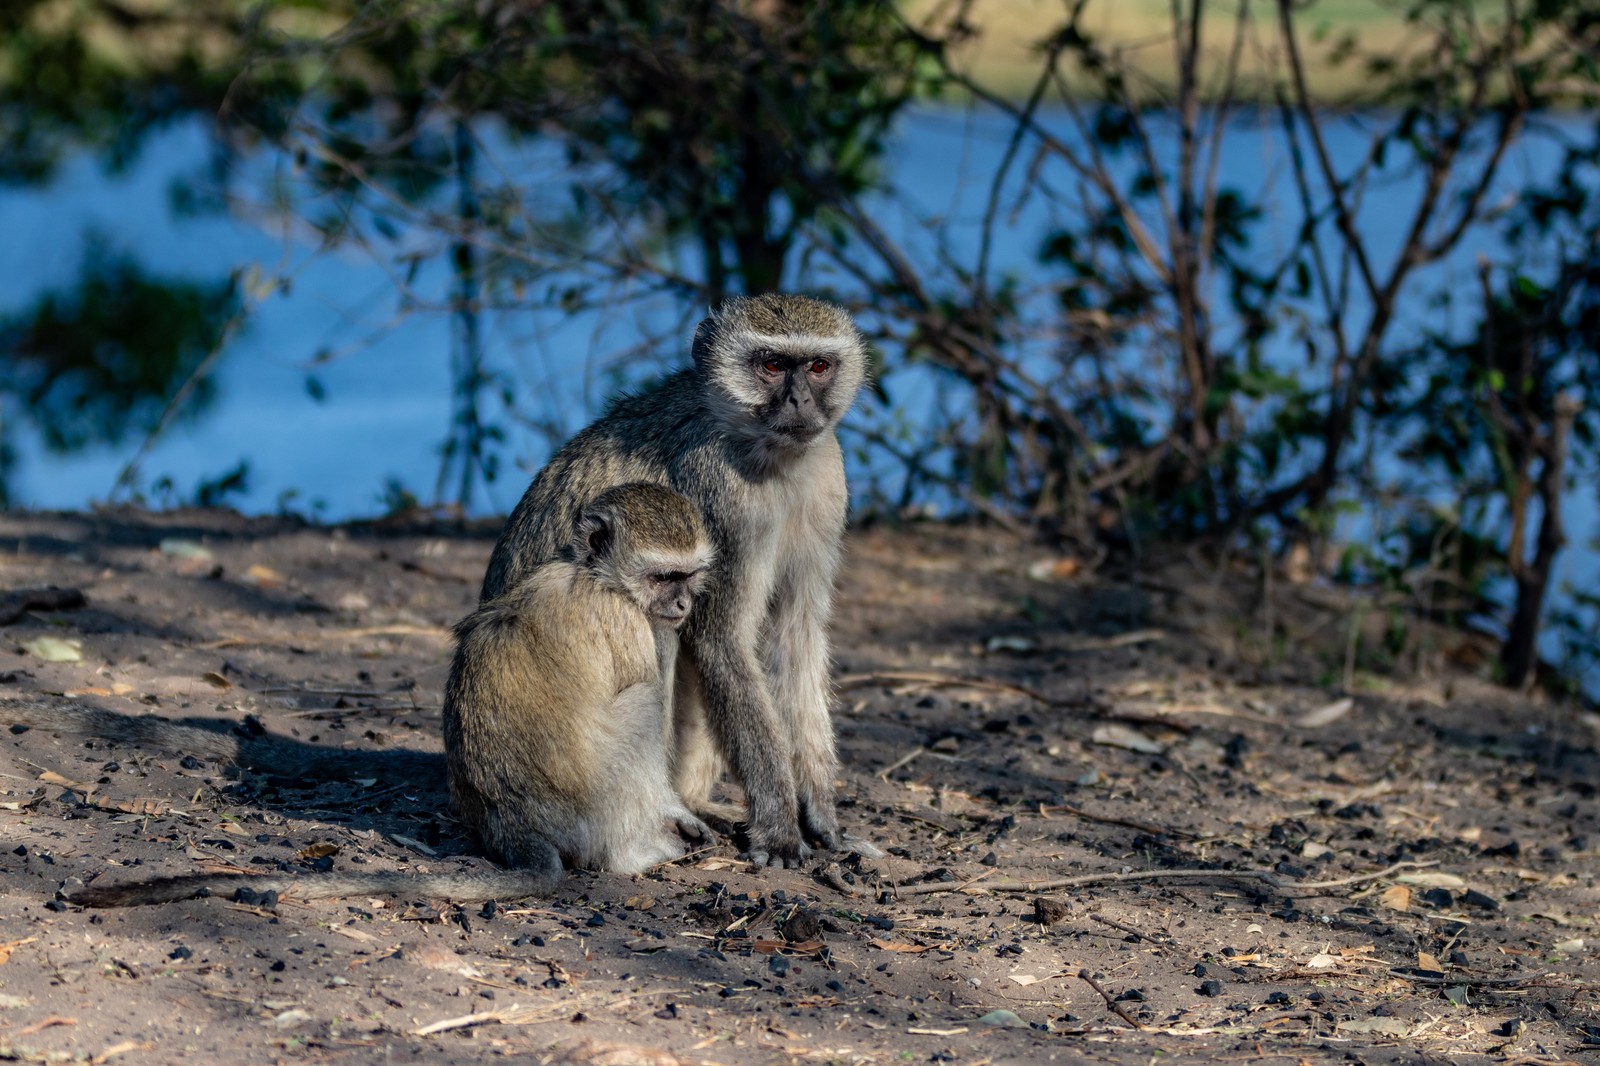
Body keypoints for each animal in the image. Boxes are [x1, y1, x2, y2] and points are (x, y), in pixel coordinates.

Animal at [60, 480, 713, 902]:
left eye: (690, 578)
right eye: (665, 577)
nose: (683, 606)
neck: (592, 574)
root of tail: (509, 818)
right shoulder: (632, 623)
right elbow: (644, 695)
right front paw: (678, 816)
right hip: (590, 807)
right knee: (638, 706)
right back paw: (637, 850)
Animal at [480, 288, 870, 864]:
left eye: (818, 367)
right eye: (773, 365)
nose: (800, 402)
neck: (768, 456)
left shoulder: (826, 479)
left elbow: (795, 635)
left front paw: (822, 816)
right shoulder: (721, 497)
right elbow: (721, 640)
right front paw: (779, 826)